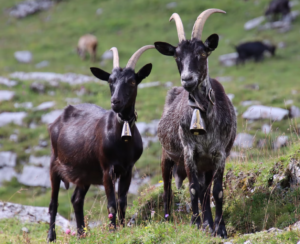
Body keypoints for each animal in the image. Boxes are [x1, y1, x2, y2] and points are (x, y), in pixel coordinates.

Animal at [47, 44, 155, 241]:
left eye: (132, 81)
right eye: (110, 81)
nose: (115, 101)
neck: (122, 139)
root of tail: (56, 121)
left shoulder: (127, 169)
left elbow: (122, 201)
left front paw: (122, 228)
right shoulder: (107, 168)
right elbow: (111, 203)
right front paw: (113, 230)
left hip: (85, 173)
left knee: (76, 199)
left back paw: (81, 234)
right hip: (54, 165)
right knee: (53, 203)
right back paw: (51, 237)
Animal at [155, 8, 237, 237]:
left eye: (202, 53)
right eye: (177, 56)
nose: (187, 79)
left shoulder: (219, 154)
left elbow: (216, 192)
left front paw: (219, 228)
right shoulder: (189, 152)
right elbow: (193, 189)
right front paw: (196, 224)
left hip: (205, 165)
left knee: (205, 192)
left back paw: (209, 223)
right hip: (167, 157)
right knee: (168, 190)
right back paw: (168, 219)